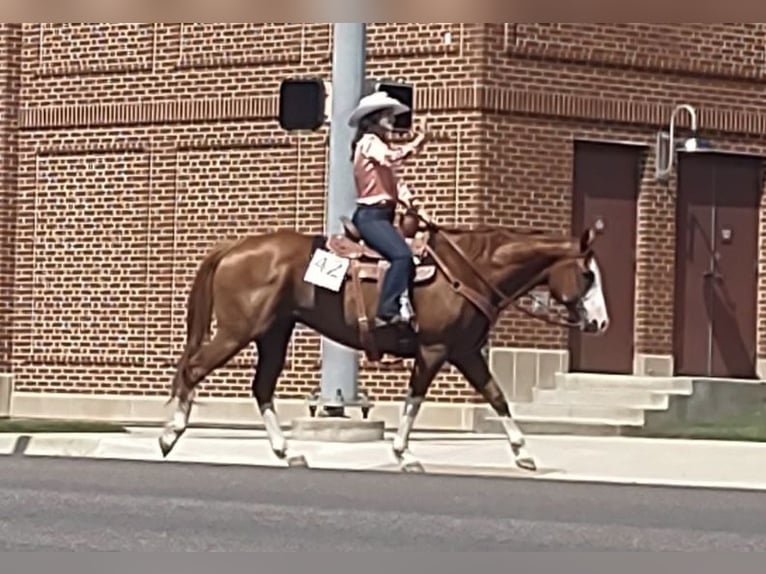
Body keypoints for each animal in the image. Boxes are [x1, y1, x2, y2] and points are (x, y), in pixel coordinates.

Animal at [158, 209, 610, 472]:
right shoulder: (436, 350)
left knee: (262, 387)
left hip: (273, 333)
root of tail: (236, 246)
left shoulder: (465, 351)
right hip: (239, 331)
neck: (472, 268)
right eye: (587, 274)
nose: (602, 323)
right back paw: (168, 435)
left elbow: (497, 397)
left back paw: (288, 453)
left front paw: (524, 452)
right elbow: (415, 400)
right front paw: (404, 454)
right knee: (194, 369)